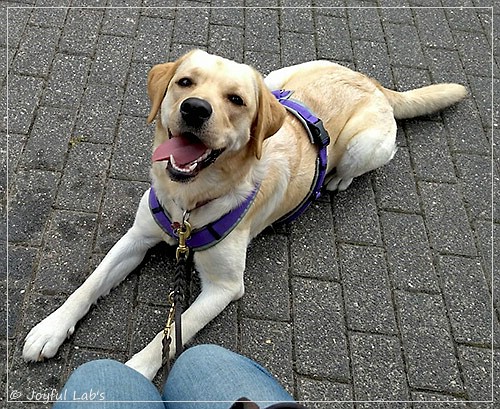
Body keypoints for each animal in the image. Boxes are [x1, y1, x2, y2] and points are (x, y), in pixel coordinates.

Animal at [22, 49, 468, 378]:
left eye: (235, 100)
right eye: (185, 82)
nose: (195, 108)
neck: (189, 204)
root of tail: (372, 81)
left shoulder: (223, 287)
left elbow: (168, 337)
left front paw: (132, 372)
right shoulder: (136, 237)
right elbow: (89, 285)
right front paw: (50, 328)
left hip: (364, 147)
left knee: (359, 164)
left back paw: (338, 179)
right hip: (277, 79)